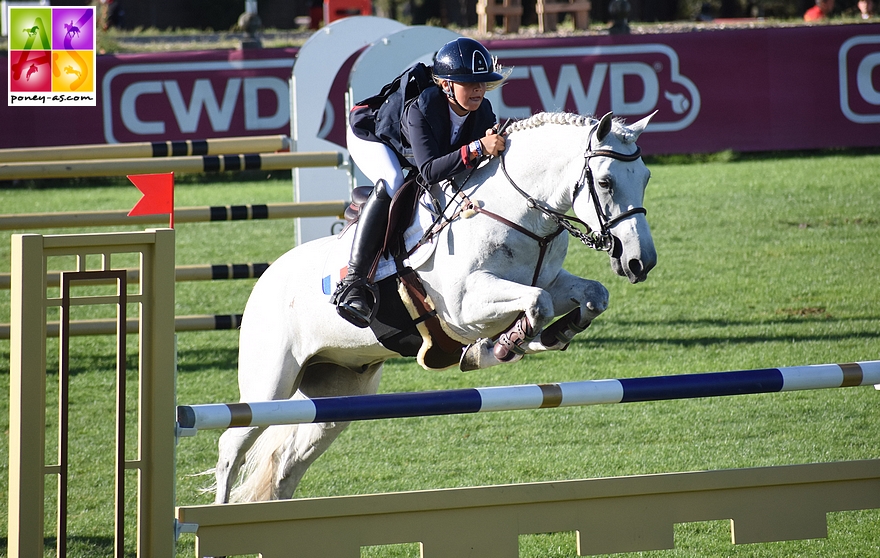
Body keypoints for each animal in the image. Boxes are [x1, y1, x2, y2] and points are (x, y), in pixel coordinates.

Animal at [211, 111, 652, 506]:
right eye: (606, 181)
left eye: (646, 177)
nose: (639, 262)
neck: (515, 211)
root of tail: (265, 279)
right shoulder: (463, 306)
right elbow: (535, 304)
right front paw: (502, 345)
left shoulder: (550, 281)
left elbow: (592, 294)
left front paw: (553, 334)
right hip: (271, 383)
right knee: (231, 444)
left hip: (336, 394)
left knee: (286, 464)